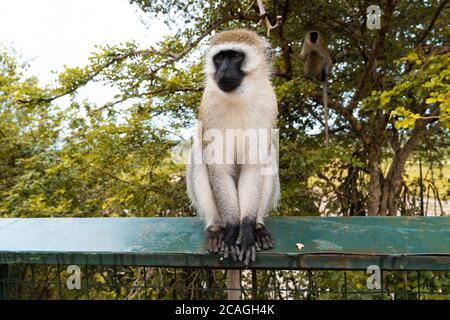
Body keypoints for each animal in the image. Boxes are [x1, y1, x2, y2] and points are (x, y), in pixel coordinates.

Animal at [185, 29, 278, 268]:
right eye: (219, 58)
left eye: (235, 56)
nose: (224, 69)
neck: (239, 96)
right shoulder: (208, 105)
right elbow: (217, 168)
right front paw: (232, 229)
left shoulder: (268, 103)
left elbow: (254, 166)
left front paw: (245, 229)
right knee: (199, 155)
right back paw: (216, 229)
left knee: (269, 156)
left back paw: (258, 227)